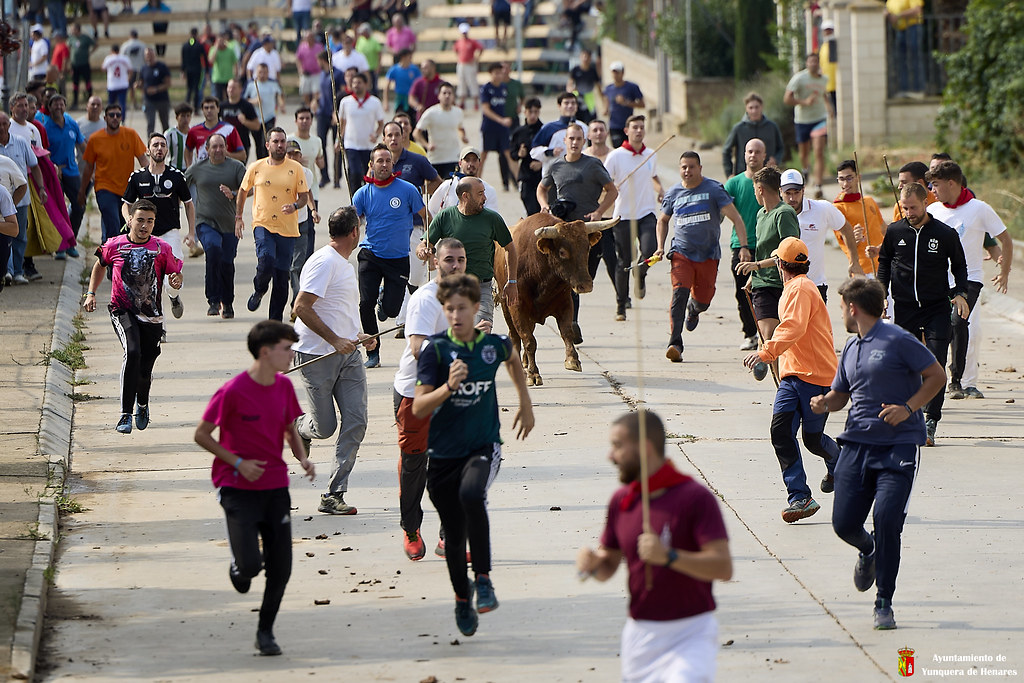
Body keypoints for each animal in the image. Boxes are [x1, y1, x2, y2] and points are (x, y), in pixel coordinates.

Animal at [493, 214, 614, 385]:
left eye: (587, 248)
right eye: (562, 252)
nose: (585, 285)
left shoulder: (565, 303)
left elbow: (567, 332)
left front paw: (572, 359)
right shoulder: (517, 307)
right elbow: (529, 340)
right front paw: (533, 374)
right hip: (506, 306)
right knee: (515, 335)